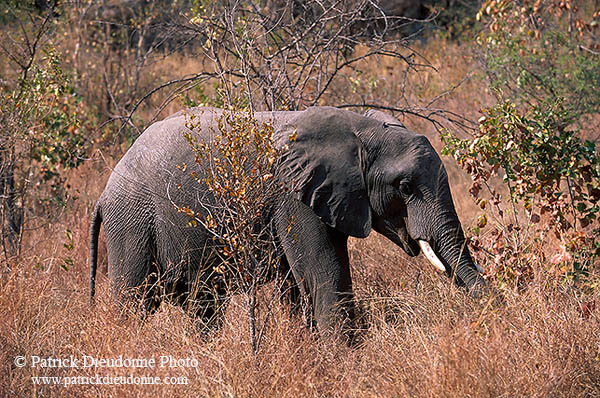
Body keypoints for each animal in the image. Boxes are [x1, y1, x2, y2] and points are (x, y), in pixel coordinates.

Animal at [88, 106, 482, 336]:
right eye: (405, 186)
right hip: (132, 221)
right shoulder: (294, 197)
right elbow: (324, 272)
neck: (359, 127)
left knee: (203, 305)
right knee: (132, 299)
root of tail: (104, 193)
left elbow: (298, 283)